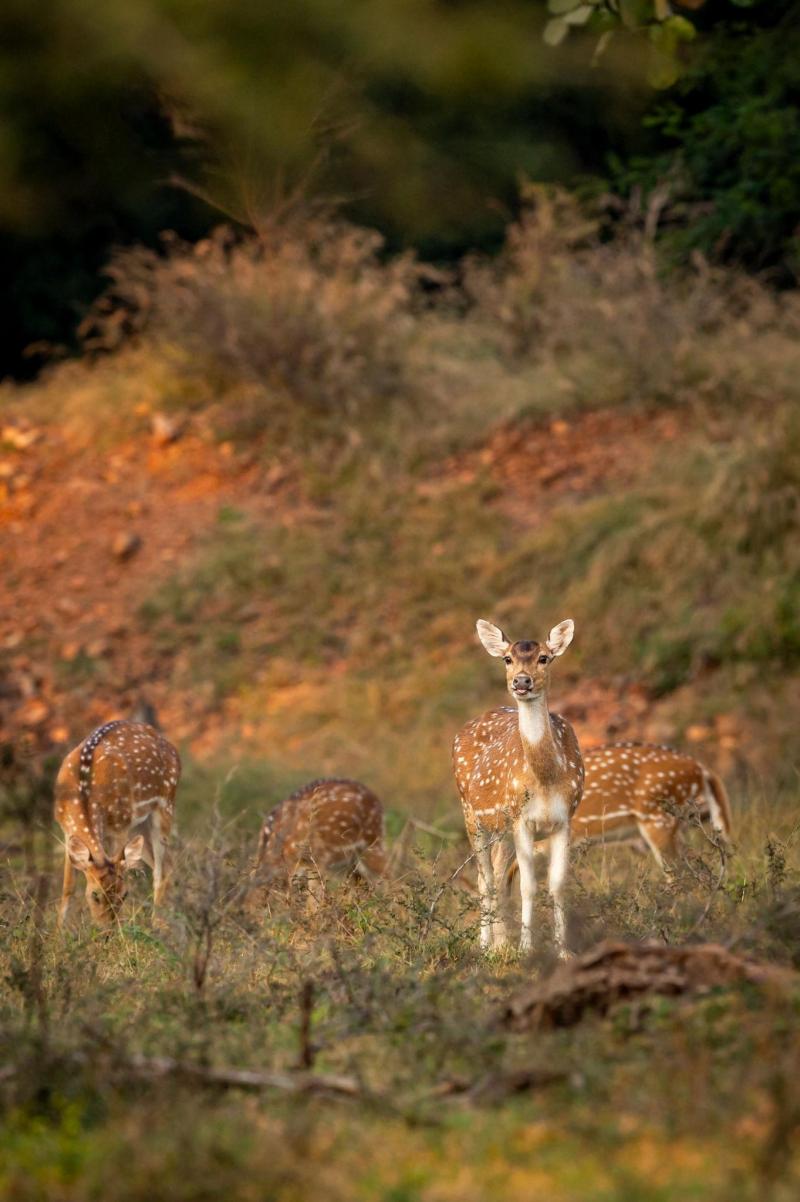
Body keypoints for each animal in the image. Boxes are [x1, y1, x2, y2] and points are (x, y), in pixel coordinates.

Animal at [54, 720, 180, 927]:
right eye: (94, 895)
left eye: (124, 895)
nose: (106, 929)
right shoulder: (66, 830)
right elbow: (67, 887)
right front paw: (57, 932)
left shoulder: (120, 826)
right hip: (139, 825)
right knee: (167, 865)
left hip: (165, 806)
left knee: (160, 872)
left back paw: (157, 926)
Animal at [453, 618, 584, 957]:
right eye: (507, 659)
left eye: (544, 658)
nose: (521, 682)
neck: (547, 780)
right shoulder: (521, 820)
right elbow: (528, 885)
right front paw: (527, 948)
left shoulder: (564, 820)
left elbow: (557, 884)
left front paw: (563, 951)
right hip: (471, 813)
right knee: (484, 878)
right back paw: (486, 945)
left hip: (502, 828)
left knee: (498, 876)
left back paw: (501, 943)